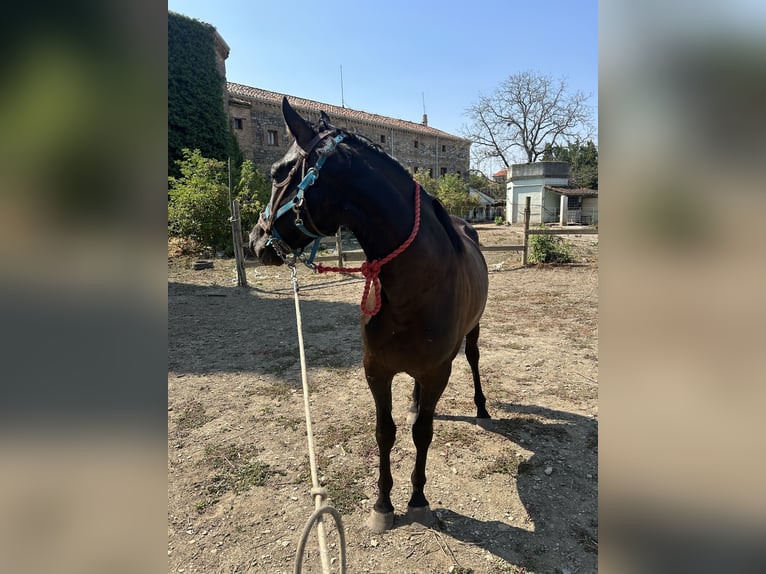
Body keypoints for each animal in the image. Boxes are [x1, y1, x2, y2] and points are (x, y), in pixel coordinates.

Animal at [251, 97, 490, 532]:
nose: (255, 239)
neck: (416, 287)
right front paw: (383, 504)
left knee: (475, 359)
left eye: (278, 173)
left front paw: (417, 500)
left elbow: (423, 433)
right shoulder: (376, 369)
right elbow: (385, 432)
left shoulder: (438, 372)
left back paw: (482, 408)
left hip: (474, 331)